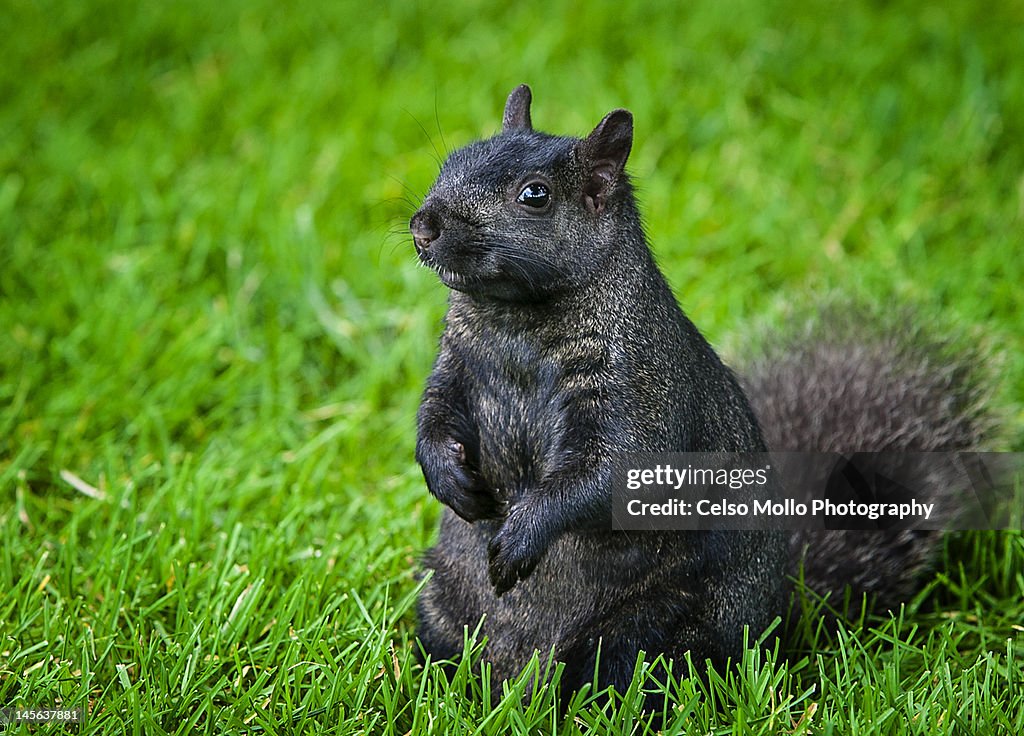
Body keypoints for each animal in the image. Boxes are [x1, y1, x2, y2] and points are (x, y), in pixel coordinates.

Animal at [411, 84, 987, 696]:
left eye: (535, 195)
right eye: (452, 160)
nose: (422, 226)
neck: (513, 320)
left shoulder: (637, 389)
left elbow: (606, 474)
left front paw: (520, 537)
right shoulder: (455, 368)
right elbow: (433, 419)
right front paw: (448, 479)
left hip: (649, 632)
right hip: (444, 602)